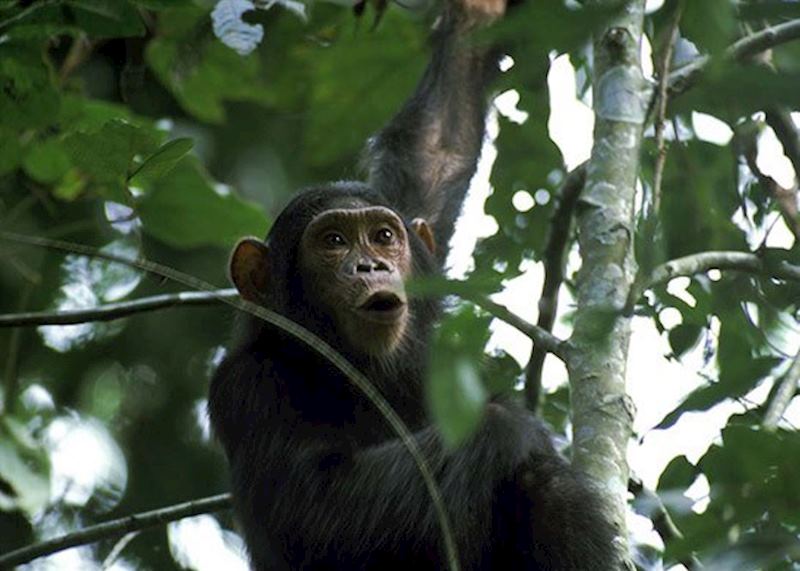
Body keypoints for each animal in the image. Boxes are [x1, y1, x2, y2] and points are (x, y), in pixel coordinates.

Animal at [208, 1, 617, 569]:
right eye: (333, 241)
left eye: (383, 236)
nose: (369, 267)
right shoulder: (248, 388)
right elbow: (314, 512)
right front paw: (508, 422)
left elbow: (436, 149)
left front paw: (478, 16)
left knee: (550, 489)